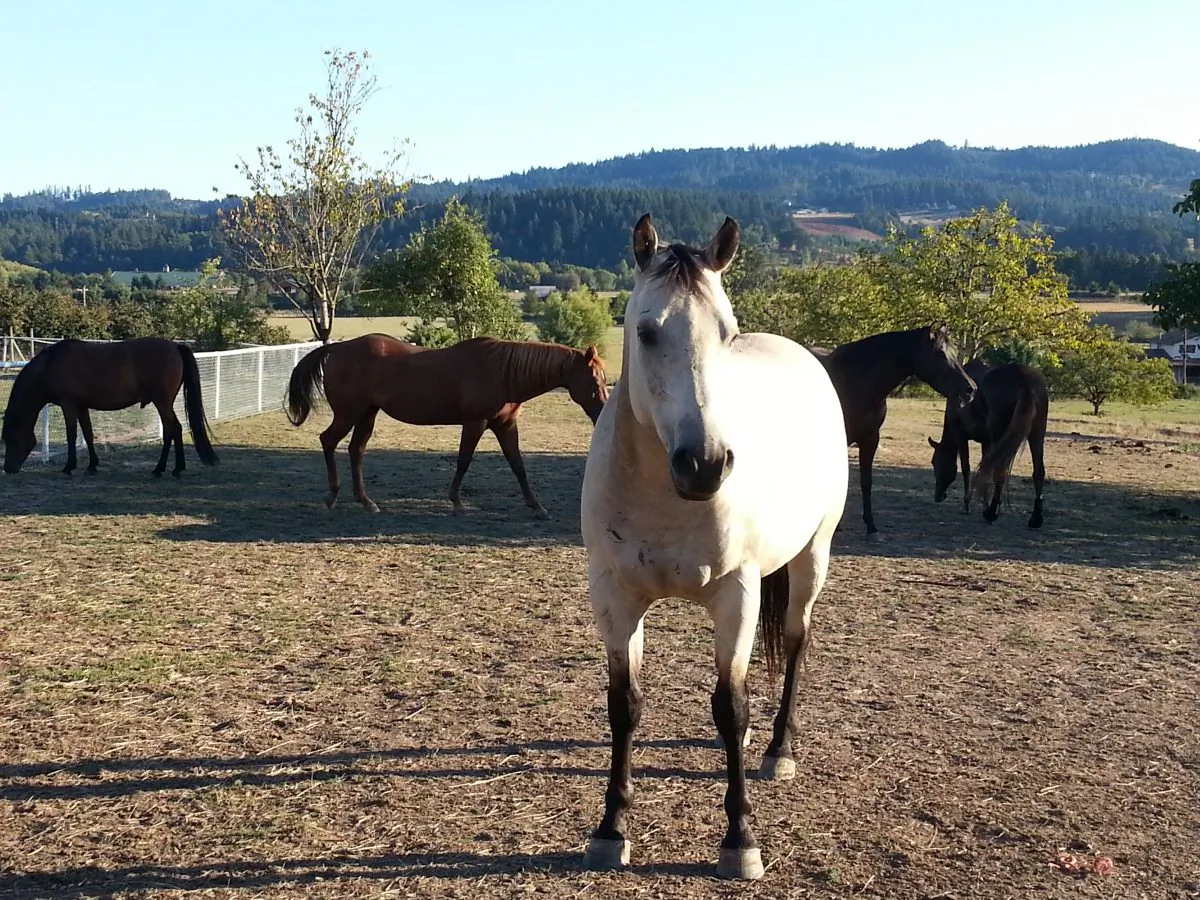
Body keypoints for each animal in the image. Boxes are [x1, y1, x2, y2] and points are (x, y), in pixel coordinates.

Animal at [2, 337, 218, 477]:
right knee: (177, 429)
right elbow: (88, 434)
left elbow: (71, 435)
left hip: (162, 403)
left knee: (170, 430)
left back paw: (160, 469)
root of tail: (175, 346)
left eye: (10, 439)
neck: (50, 364)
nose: (8, 468)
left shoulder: (68, 404)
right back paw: (177, 468)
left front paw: (69, 467)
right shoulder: (81, 406)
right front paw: (92, 466)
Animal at [285, 333, 608, 518]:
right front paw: (457, 502)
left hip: (367, 414)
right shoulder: (475, 423)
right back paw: (333, 496)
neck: (504, 372)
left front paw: (536, 506)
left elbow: (518, 465)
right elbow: (463, 461)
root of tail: (337, 349)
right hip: (348, 414)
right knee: (328, 441)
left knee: (356, 451)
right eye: (595, 382)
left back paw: (366, 501)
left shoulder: (505, 425)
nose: (602, 415)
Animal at [580, 215, 848, 881]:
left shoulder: (737, 597)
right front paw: (610, 828)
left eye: (725, 333)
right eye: (646, 331)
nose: (703, 465)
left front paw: (740, 839)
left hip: (813, 557)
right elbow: (624, 706)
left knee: (797, 643)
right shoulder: (615, 598)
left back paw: (778, 749)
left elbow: (731, 707)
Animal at [809, 325, 976, 535]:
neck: (855, 382)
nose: (971, 389)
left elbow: (865, 481)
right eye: (940, 352)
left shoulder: (871, 439)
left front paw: (870, 525)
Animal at [928, 359, 1049, 528]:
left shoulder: (960, 436)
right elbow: (985, 468)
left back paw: (992, 513)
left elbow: (966, 468)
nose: (938, 496)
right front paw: (984, 502)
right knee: (1038, 471)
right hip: (1037, 433)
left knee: (1000, 470)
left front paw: (968, 505)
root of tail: (1025, 380)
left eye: (934, 462)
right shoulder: (987, 442)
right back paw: (1035, 518)